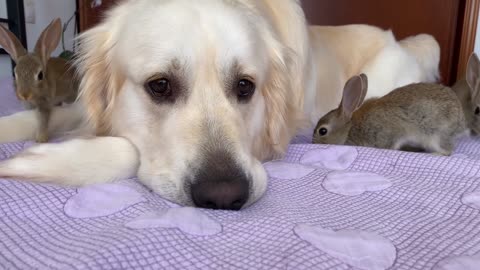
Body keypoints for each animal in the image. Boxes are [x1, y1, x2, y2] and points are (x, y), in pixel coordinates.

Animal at [314, 74, 466, 155]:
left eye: (323, 131)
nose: (313, 142)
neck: (349, 129)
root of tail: (460, 120)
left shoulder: (388, 133)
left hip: (434, 135)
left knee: (447, 151)